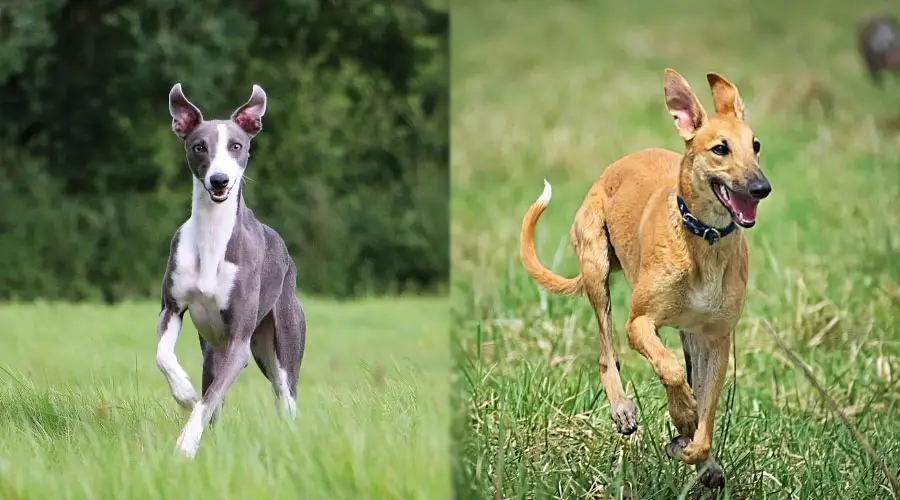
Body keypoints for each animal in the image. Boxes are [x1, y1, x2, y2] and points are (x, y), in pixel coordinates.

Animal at [520, 68, 768, 486]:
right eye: (720, 149)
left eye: (756, 145)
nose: (760, 187)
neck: (704, 237)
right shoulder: (639, 323)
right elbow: (669, 368)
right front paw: (683, 412)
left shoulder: (716, 338)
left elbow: (706, 411)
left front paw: (693, 448)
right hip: (596, 267)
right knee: (606, 353)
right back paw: (623, 407)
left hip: (688, 333)